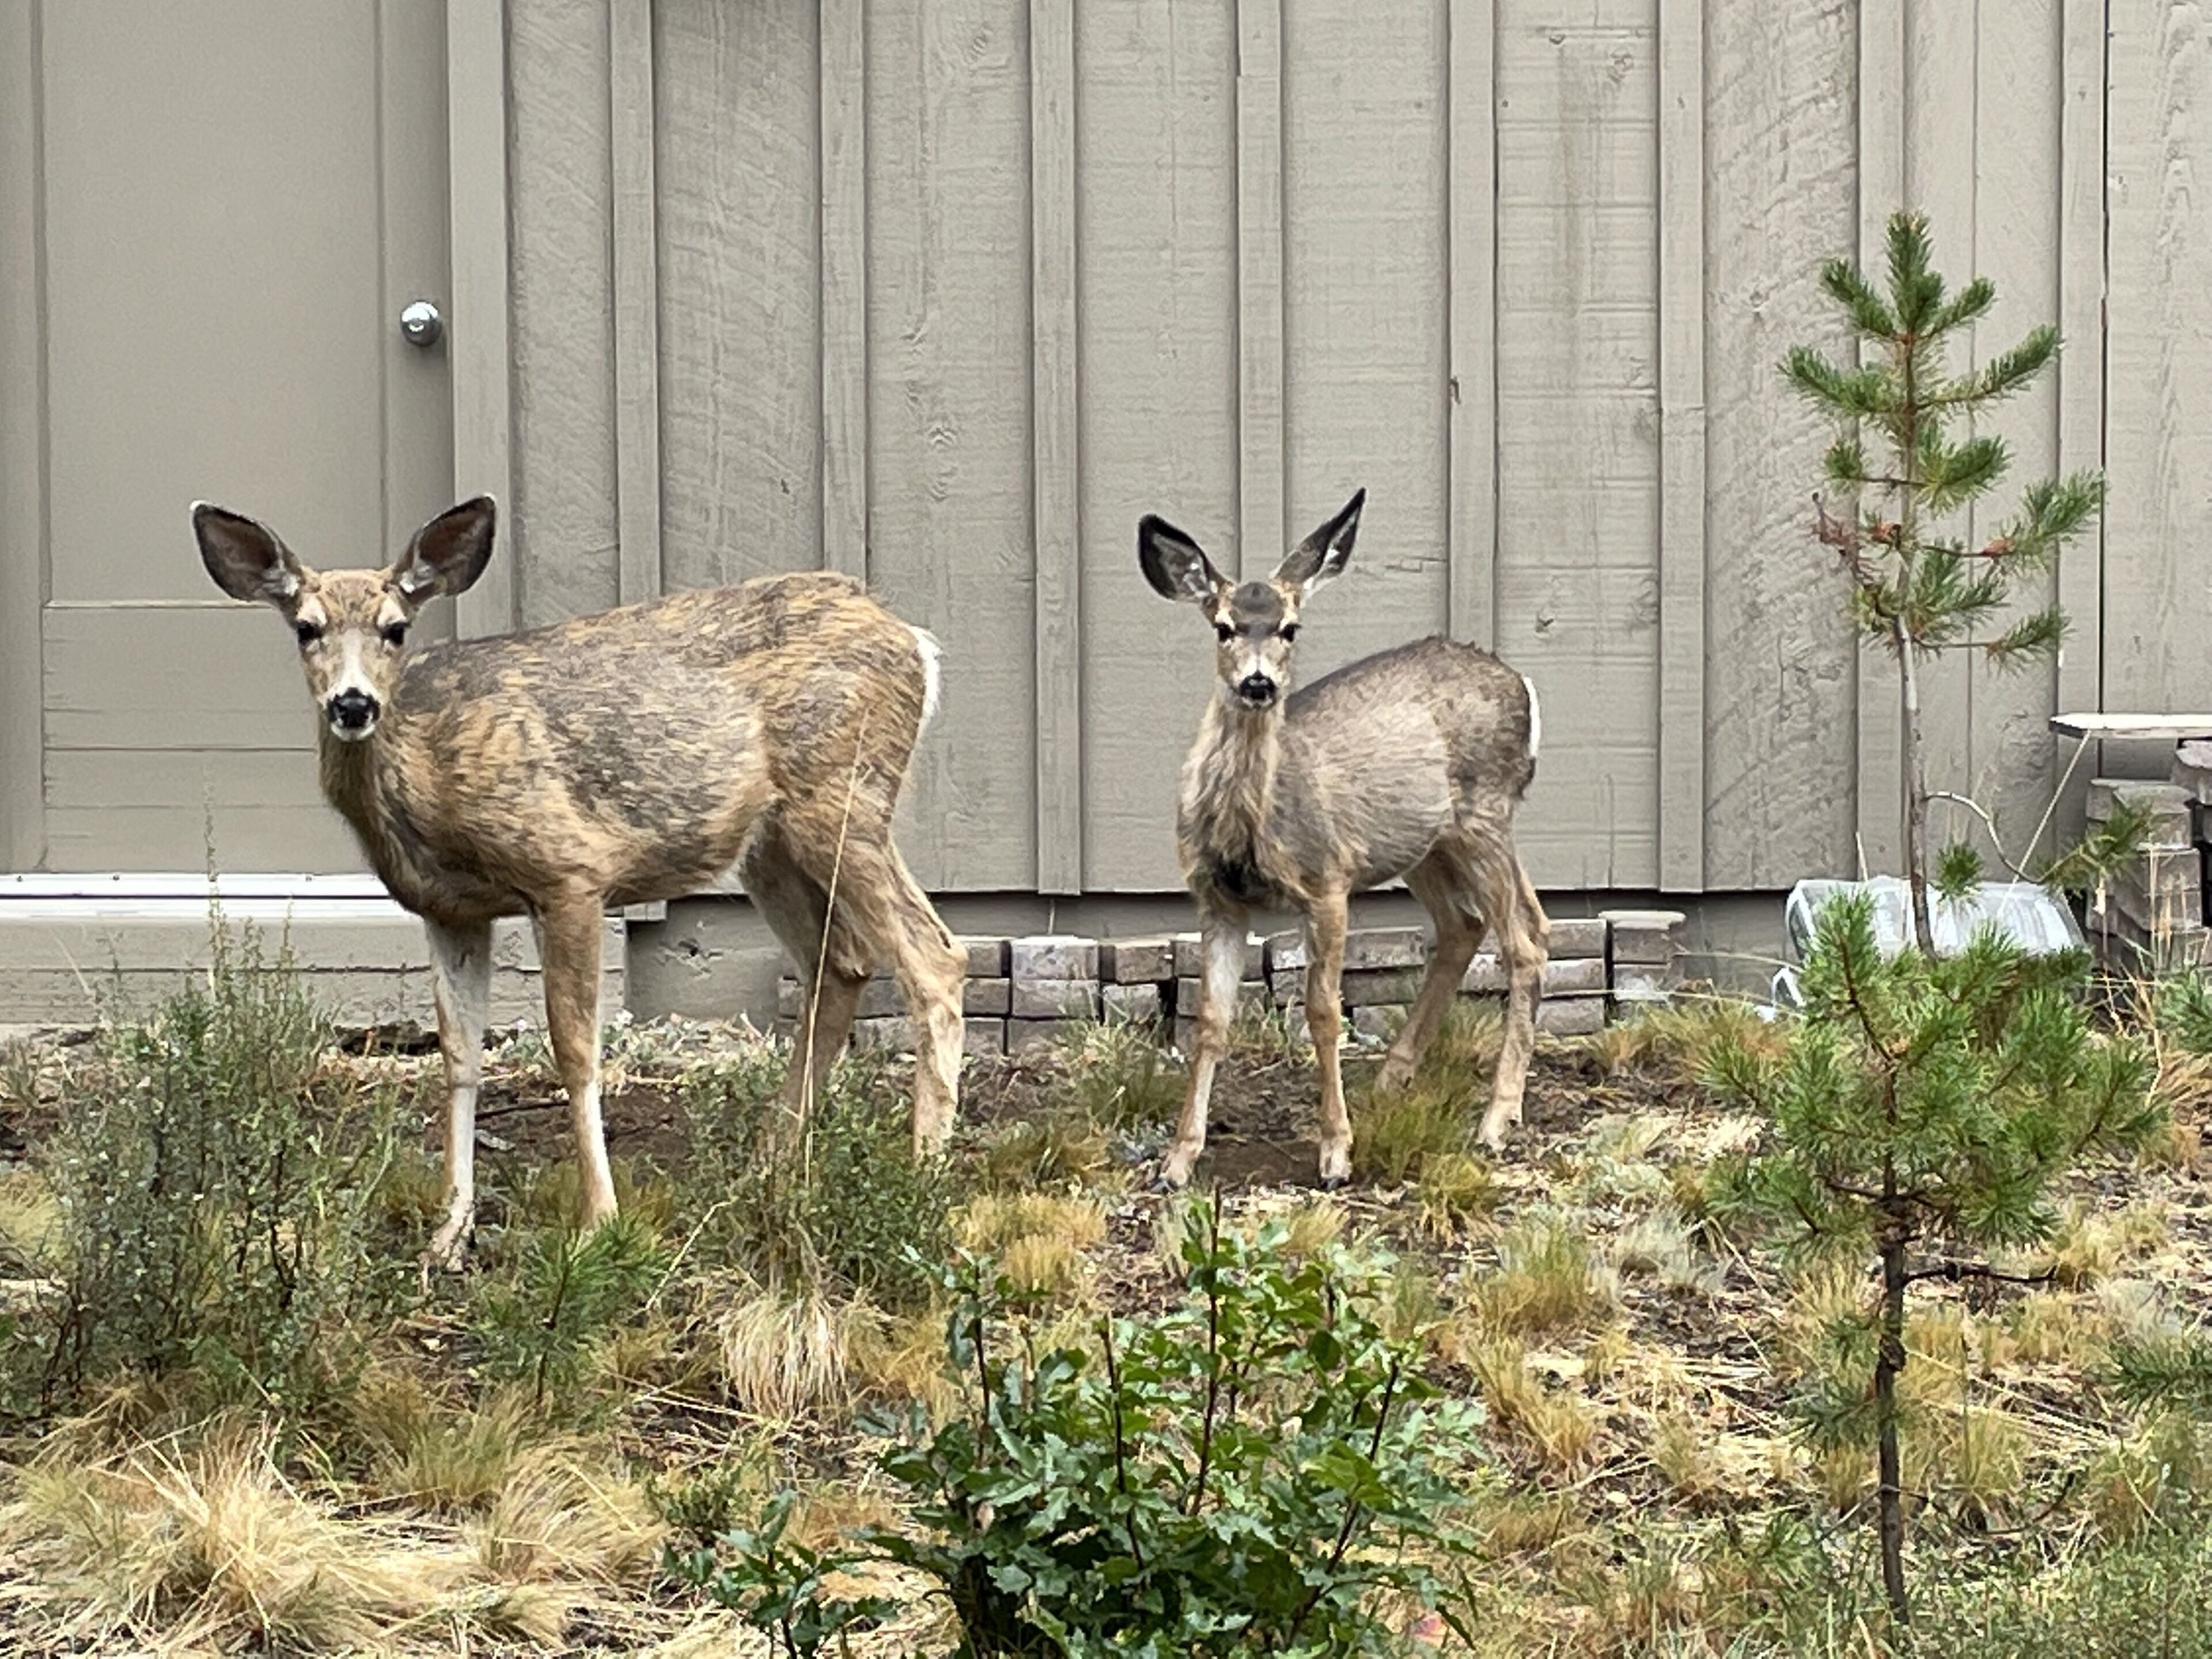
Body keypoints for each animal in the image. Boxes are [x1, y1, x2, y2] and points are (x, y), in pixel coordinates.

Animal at [191, 495, 966, 1271]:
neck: (428, 777)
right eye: (306, 628)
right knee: (841, 962)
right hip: (768, 843)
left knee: (935, 956)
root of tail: (915, 642)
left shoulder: (569, 872)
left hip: (842, 794)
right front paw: (448, 1234)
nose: (352, 705)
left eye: (395, 628)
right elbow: (460, 1058)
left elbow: (576, 1050)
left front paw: (598, 1221)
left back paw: (923, 1177)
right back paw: (767, 1169)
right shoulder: (449, 910)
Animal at [1137, 488, 1550, 1190]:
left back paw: (1497, 1118)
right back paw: (1393, 1079)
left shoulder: (1327, 879)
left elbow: (1324, 1013)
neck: (1253, 826)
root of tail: (1522, 683)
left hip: (1484, 814)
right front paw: (1179, 1159)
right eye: (1223, 626)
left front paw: (1335, 1152)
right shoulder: (1216, 898)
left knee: (1522, 943)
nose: (1258, 683)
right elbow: (1211, 1021)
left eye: (1289, 628)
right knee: (1479, 925)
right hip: (1427, 843)